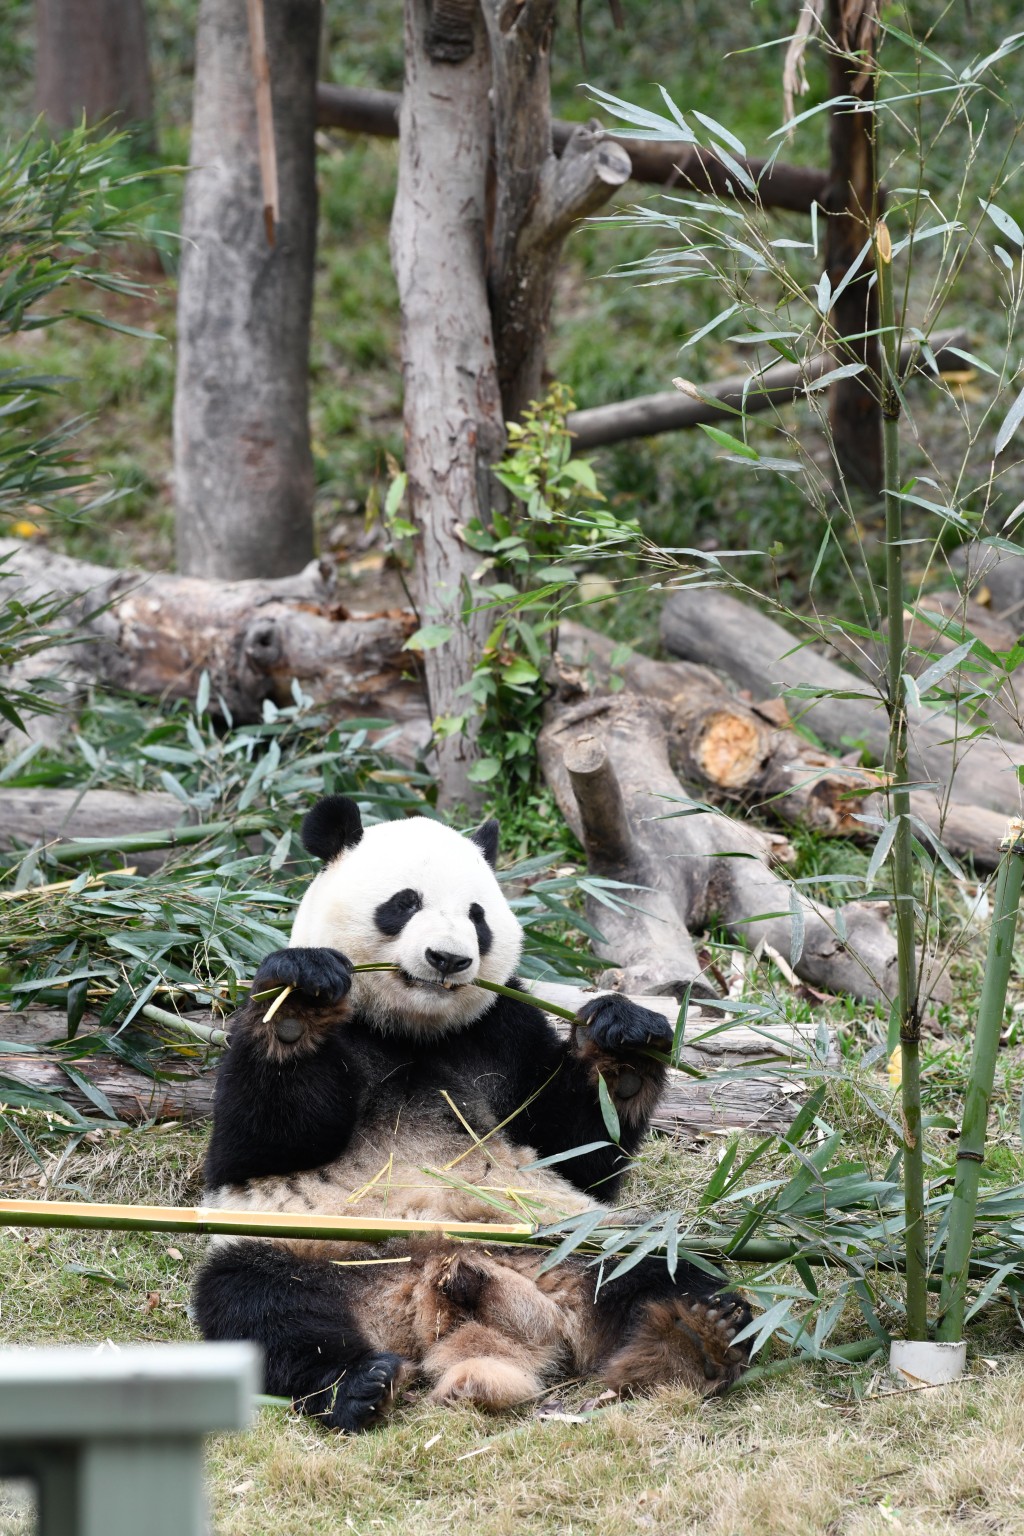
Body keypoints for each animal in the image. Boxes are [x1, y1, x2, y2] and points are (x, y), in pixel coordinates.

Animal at [194, 798, 752, 1431]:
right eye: (404, 903)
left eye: (477, 915)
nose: (449, 958)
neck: (414, 1029)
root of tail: (432, 1293)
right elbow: (259, 1143)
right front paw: (300, 1003)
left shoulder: (506, 1028)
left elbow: (579, 1151)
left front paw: (625, 1043)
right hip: (303, 1246)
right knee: (261, 1309)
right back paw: (360, 1384)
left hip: (575, 1241)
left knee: (657, 1266)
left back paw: (696, 1339)